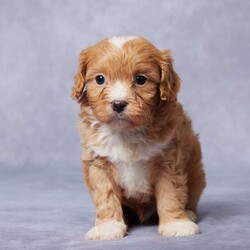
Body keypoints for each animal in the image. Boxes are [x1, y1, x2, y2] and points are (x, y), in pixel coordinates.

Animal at [71, 35, 206, 240]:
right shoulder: (98, 163)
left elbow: (171, 193)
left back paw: (189, 213)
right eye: (100, 79)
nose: (118, 104)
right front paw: (108, 226)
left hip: (196, 174)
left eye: (141, 79)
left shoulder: (169, 160)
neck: (126, 131)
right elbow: (105, 194)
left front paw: (177, 223)